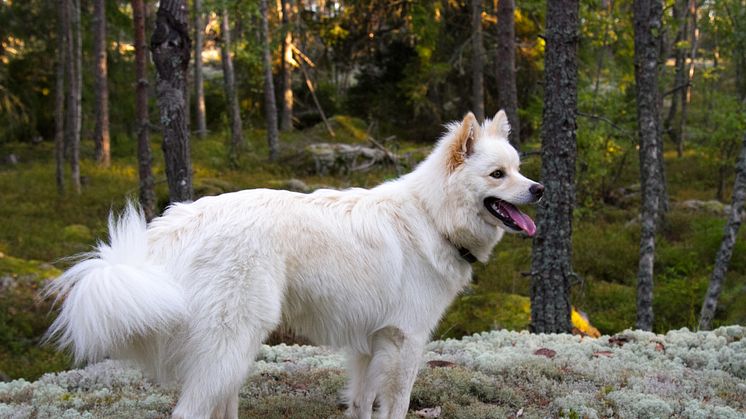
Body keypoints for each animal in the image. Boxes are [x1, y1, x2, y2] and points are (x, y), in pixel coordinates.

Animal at [45, 111, 540, 419]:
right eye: (498, 175)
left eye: (518, 168)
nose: (539, 189)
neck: (433, 216)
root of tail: (177, 224)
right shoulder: (406, 342)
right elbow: (395, 406)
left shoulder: (369, 345)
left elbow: (362, 405)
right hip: (233, 344)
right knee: (190, 410)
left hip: (232, 353)